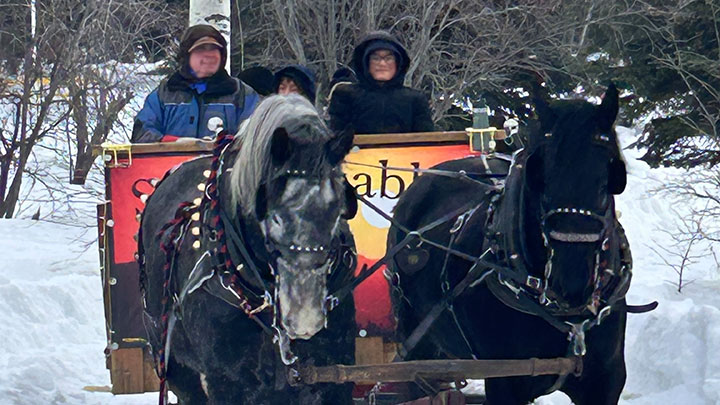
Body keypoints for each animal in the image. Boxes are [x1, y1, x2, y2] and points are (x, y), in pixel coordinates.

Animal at [138, 94, 359, 404]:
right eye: (273, 215)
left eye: (339, 211)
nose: (305, 316)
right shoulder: (226, 381)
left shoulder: (335, 372)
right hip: (175, 365)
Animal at [387, 84, 633, 404]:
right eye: (541, 183)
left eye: (606, 184)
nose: (572, 282)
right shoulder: (505, 380)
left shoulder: (605, 381)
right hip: (417, 344)